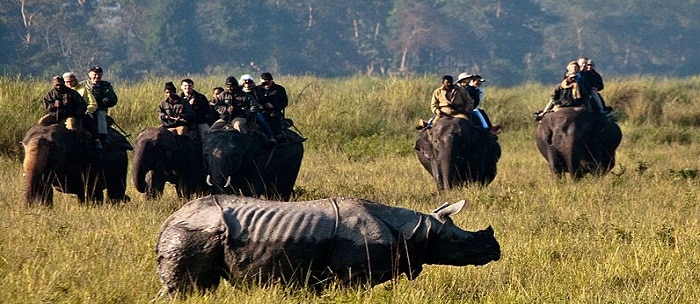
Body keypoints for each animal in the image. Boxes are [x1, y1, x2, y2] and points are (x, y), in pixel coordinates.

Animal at [156, 195, 500, 296]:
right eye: (458, 239)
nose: (495, 251)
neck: (417, 230)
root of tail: (169, 219)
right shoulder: (354, 273)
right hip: (194, 233)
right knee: (185, 287)